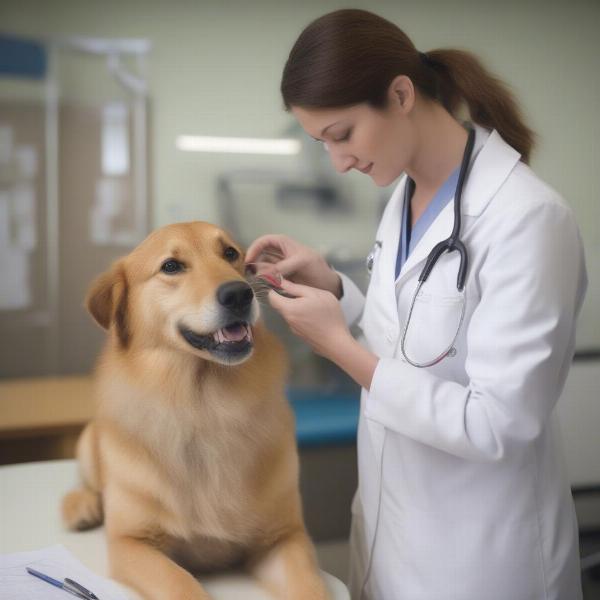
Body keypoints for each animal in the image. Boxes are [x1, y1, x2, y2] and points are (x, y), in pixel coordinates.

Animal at [61, 221, 328, 600]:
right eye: (171, 266)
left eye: (230, 253)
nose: (239, 294)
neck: (203, 405)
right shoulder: (133, 543)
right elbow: (181, 584)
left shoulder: (283, 537)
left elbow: (310, 585)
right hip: (90, 438)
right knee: (89, 481)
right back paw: (80, 506)